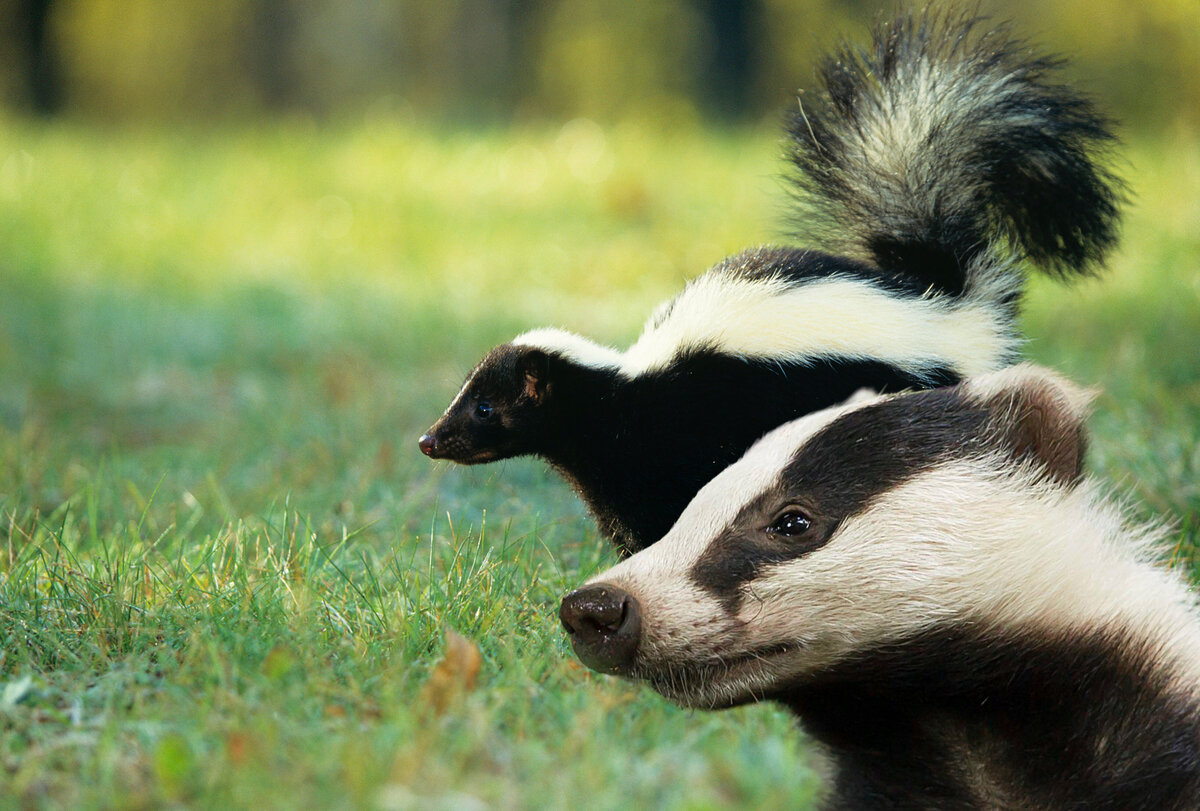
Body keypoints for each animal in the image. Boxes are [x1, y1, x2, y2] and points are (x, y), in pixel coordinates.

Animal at [417, 11, 1118, 556]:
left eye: (485, 409)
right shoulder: (620, 469)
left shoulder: (672, 442)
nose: (430, 439)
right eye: (465, 397)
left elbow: (674, 510)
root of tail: (942, 302)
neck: (622, 390)